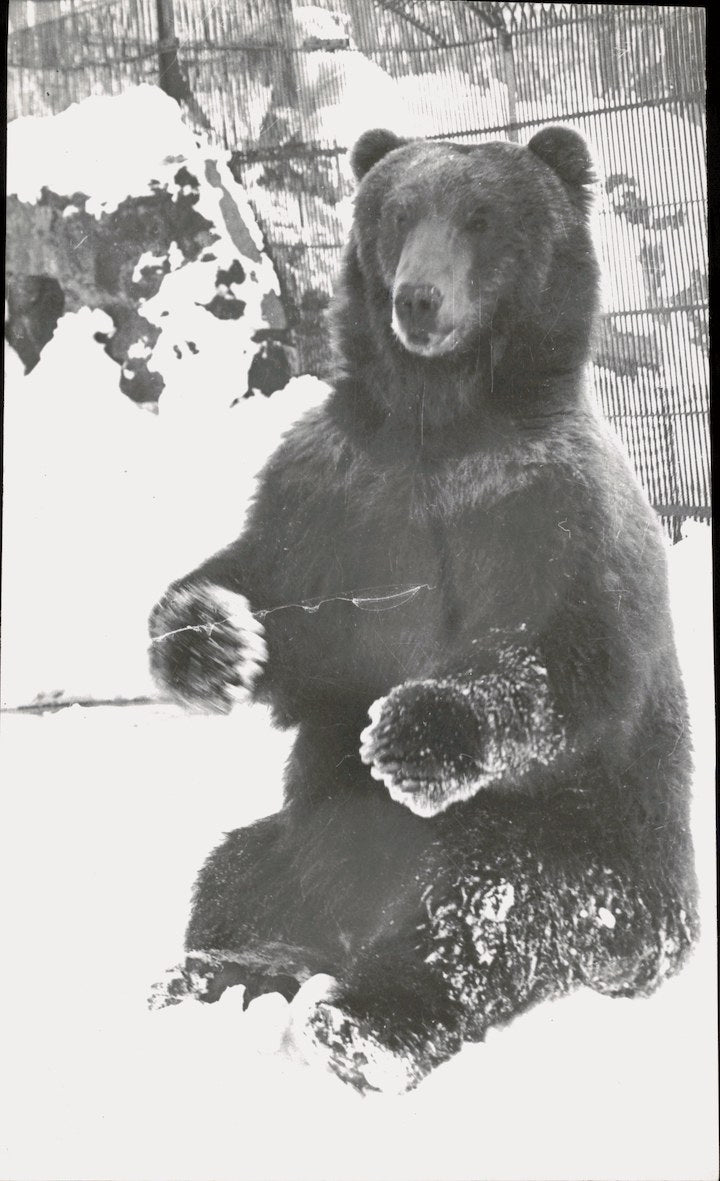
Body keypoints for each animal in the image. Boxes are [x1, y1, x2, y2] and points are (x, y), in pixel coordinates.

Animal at [148, 126, 698, 1094]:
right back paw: (226, 971)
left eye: (482, 218)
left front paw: (415, 732)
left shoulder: (550, 513)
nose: (419, 298)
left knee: (484, 908)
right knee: (239, 875)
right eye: (399, 212)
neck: (440, 428)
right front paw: (214, 643)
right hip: (314, 834)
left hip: (603, 878)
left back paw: (363, 1022)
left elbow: (566, 661)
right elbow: (283, 605)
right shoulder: (340, 501)